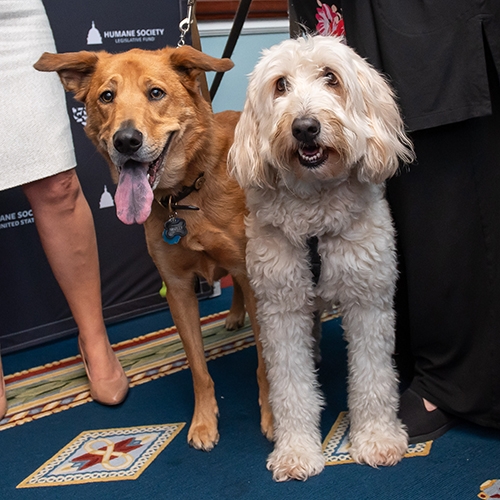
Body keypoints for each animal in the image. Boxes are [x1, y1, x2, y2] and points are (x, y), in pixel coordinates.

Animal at [35, 45, 272, 450]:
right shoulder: (177, 290)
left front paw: (274, 417)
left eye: (156, 93)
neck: (185, 195)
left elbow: (267, 362)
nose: (125, 141)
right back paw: (234, 315)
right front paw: (204, 421)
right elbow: (198, 368)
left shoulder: (253, 274)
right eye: (107, 96)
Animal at [229, 35, 414, 480]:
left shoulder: (369, 301)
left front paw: (376, 438)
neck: (315, 209)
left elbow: (373, 377)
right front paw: (296, 451)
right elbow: (290, 386)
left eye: (331, 77)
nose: (305, 127)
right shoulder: (281, 308)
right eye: (280, 85)